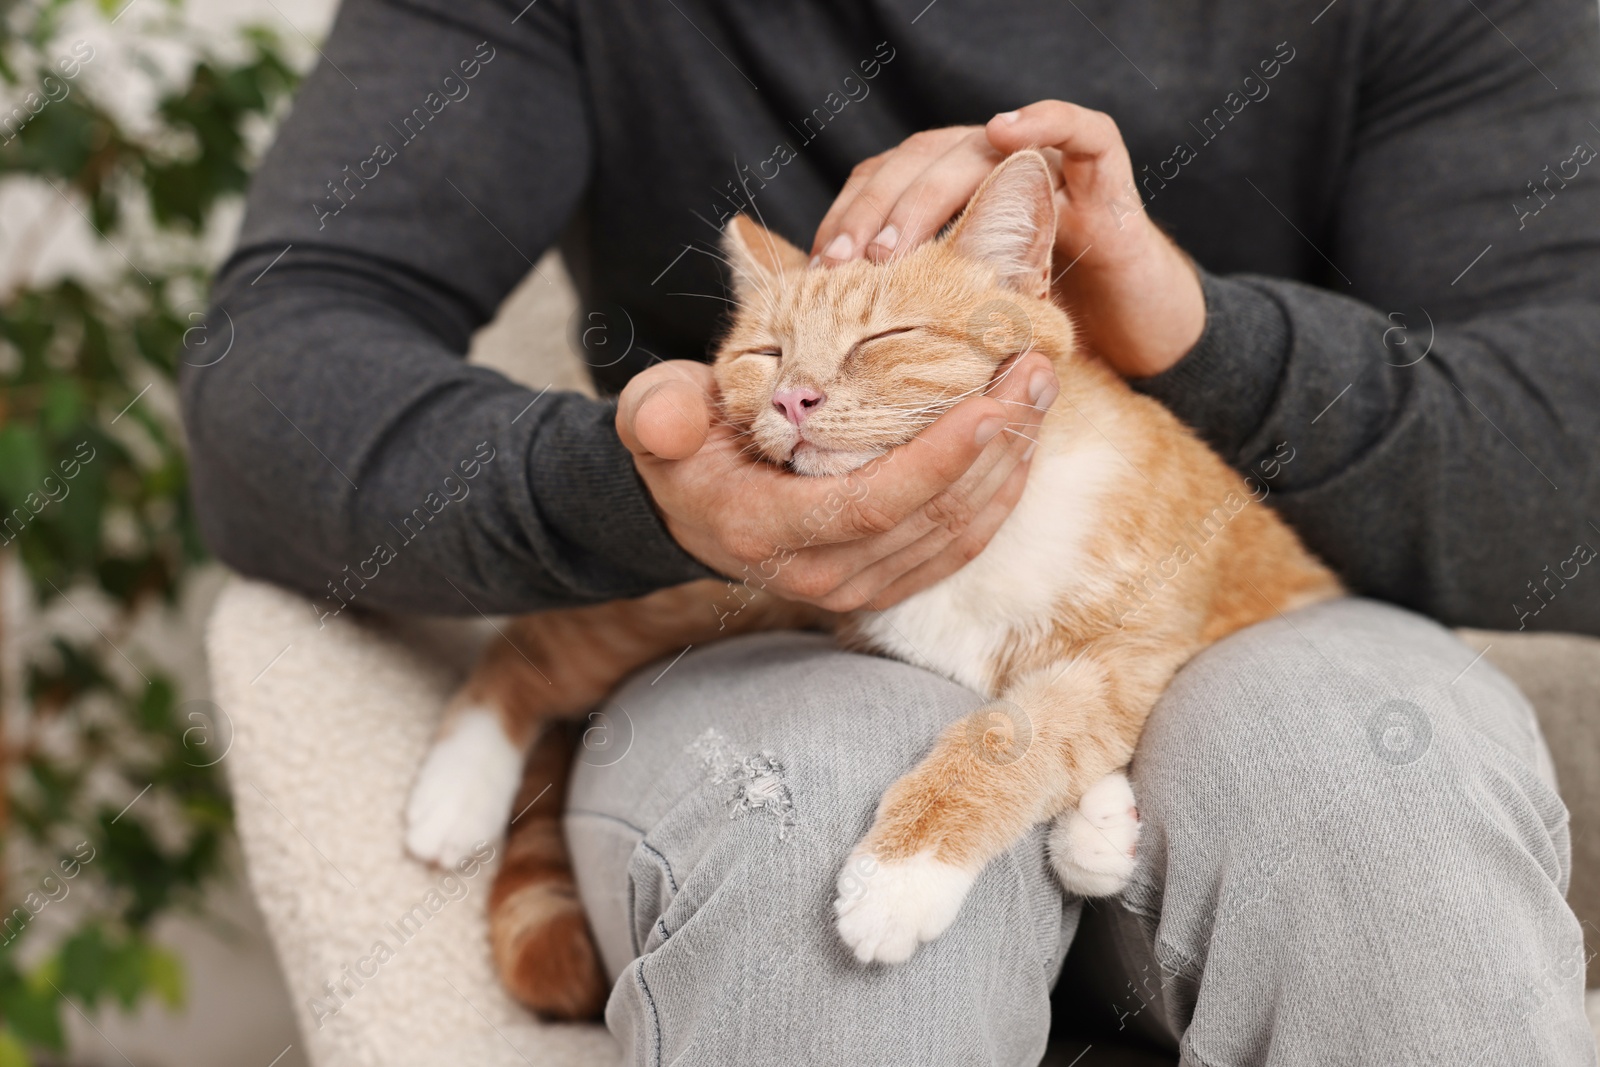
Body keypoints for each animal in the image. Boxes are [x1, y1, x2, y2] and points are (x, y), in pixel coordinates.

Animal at [400, 150, 1337, 1017]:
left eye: (883, 339)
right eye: (766, 352)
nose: (794, 399)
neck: (995, 533)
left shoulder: (1138, 641)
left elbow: (1023, 728)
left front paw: (1064, 833)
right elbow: (1009, 729)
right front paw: (904, 874)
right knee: (538, 642)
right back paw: (455, 792)